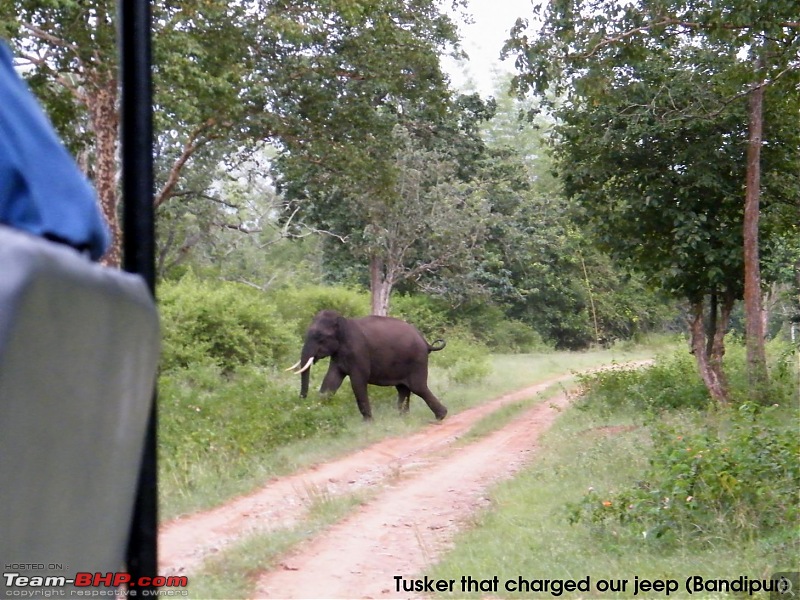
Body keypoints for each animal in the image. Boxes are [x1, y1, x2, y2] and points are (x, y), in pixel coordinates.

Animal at [288, 310, 450, 422]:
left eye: (320, 336)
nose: (302, 401)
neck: (344, 322)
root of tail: (426, 342)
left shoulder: (359, 352)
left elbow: (358, 382)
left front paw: (368, 422)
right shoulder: (338, 355)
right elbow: (331, 380)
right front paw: (319, 411)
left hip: (417, 360)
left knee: (418, 387)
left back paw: (441, 416)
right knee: (403, 388)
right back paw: (402, 416)